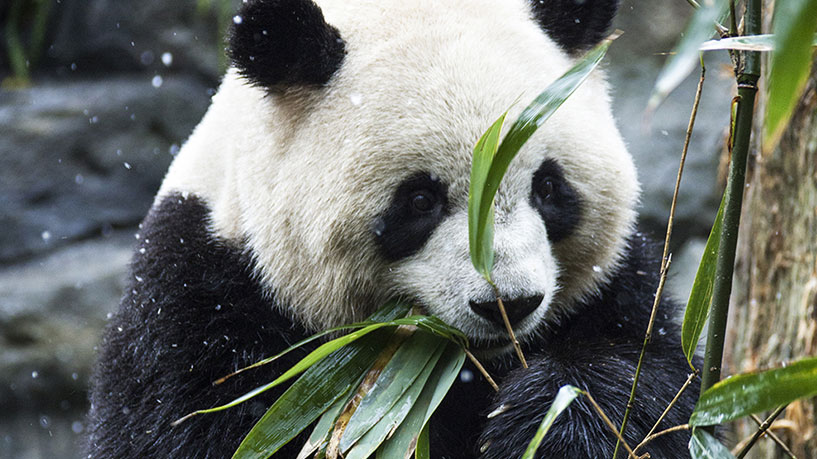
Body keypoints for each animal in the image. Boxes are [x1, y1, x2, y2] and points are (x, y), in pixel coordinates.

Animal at [86, 0, 700, 459]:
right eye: (420, 200)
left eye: (548, 188)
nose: (511, 304)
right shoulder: (198, 303)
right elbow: (191, 423)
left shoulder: (619, 285)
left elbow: (655, 385)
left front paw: (552, 422)